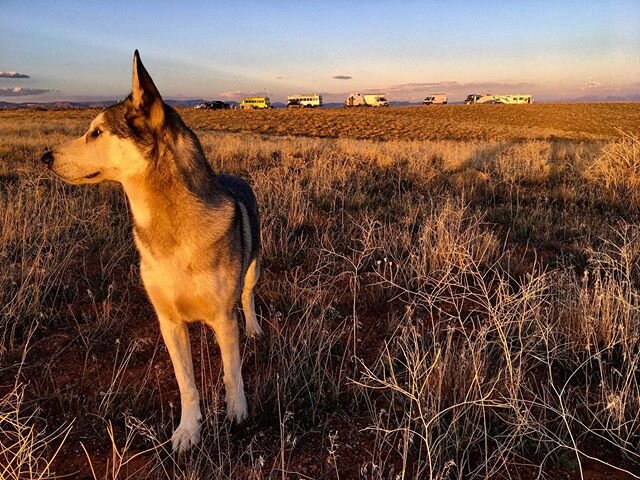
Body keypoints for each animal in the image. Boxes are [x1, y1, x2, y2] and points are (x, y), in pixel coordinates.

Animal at [40, 50, 262, 452]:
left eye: (97, 131)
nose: (45, 157)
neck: (171, 231)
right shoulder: (169, 322)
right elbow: (187, 384)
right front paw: (189, 431)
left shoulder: (224, 318)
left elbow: (231, 373)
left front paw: (237, 414)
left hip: (254, 268)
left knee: (248, 297)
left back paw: (253, 328)